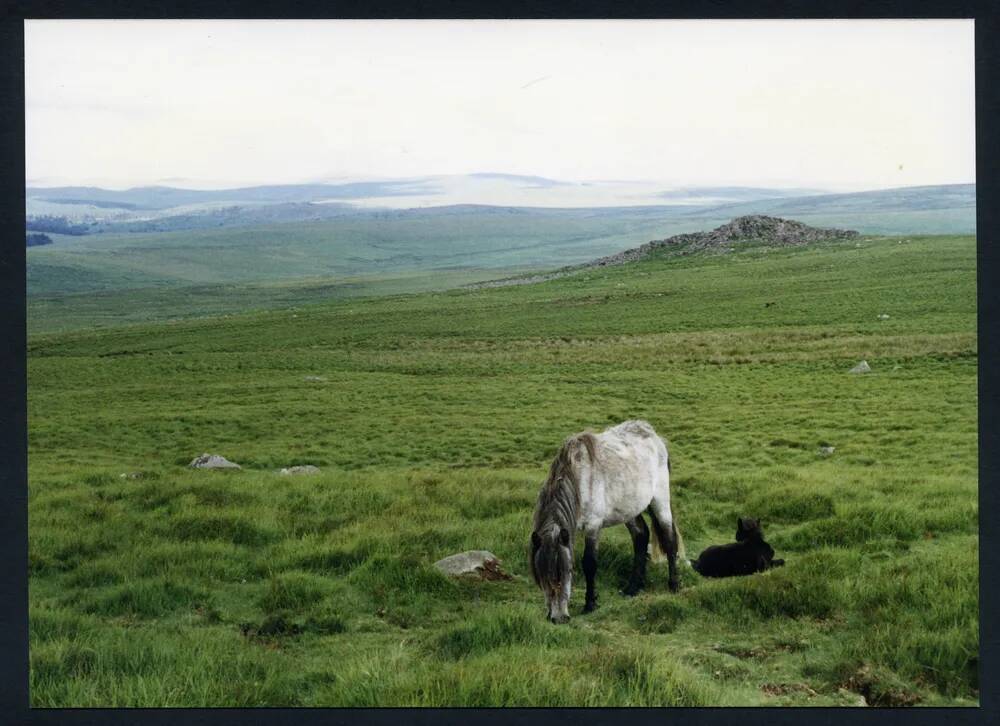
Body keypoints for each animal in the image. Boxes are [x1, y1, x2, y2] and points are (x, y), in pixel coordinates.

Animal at [528, 420, 684, 624]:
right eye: (541, 576)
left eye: (567, 571)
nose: (559, 618)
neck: (578, 479)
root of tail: (655, 437)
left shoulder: (593, 526)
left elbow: (589, 563)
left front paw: (590, 604)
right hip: (629, 509)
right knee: (641, 536)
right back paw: (633, 588)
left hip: (660, 501)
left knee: (669, 540)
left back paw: (674, 585)